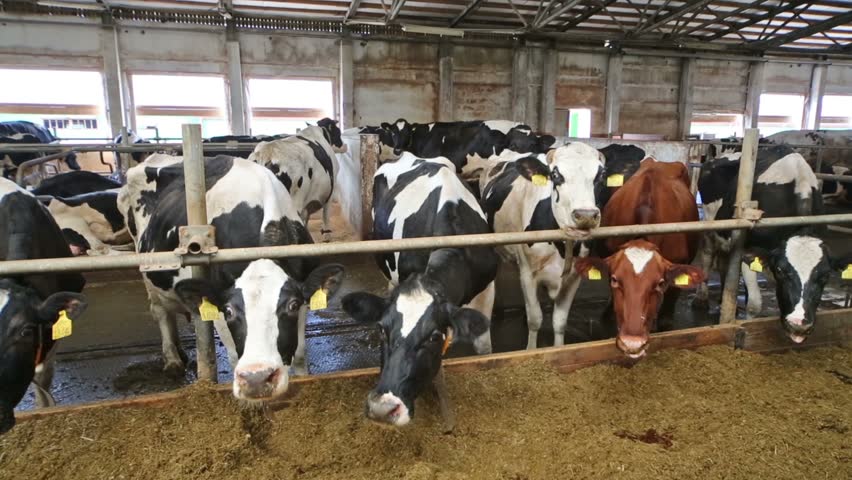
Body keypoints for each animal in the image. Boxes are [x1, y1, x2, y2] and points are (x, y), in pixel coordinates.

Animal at [480, 144, 604, 350]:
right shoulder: (528, 274)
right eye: (555, 175)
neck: (563, 247)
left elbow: (559, 321)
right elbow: (535, 319)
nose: (586, 215)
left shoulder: (574, 278)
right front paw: (530, 350)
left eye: (601, 175)